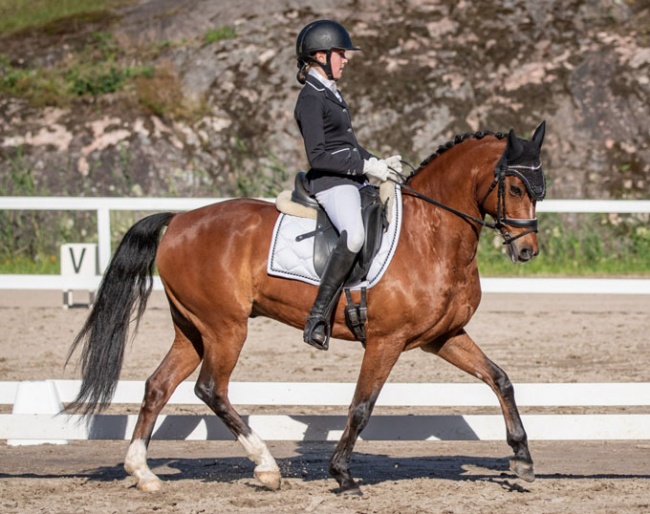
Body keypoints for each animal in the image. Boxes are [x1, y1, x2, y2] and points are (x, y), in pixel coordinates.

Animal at [66, 120, 544, 492]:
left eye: (540, 189)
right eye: (515, 186)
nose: (527, 251)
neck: (431, 233)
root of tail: (179, 219)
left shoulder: (443, 336)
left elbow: (500, 379)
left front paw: (522, 458)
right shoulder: (386, 340)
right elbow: (361, 407)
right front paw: (343, 475)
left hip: (193, 330)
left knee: (158, 386)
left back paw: (143, 472)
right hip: (225, 328)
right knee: (211, 389)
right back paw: (266, 468)